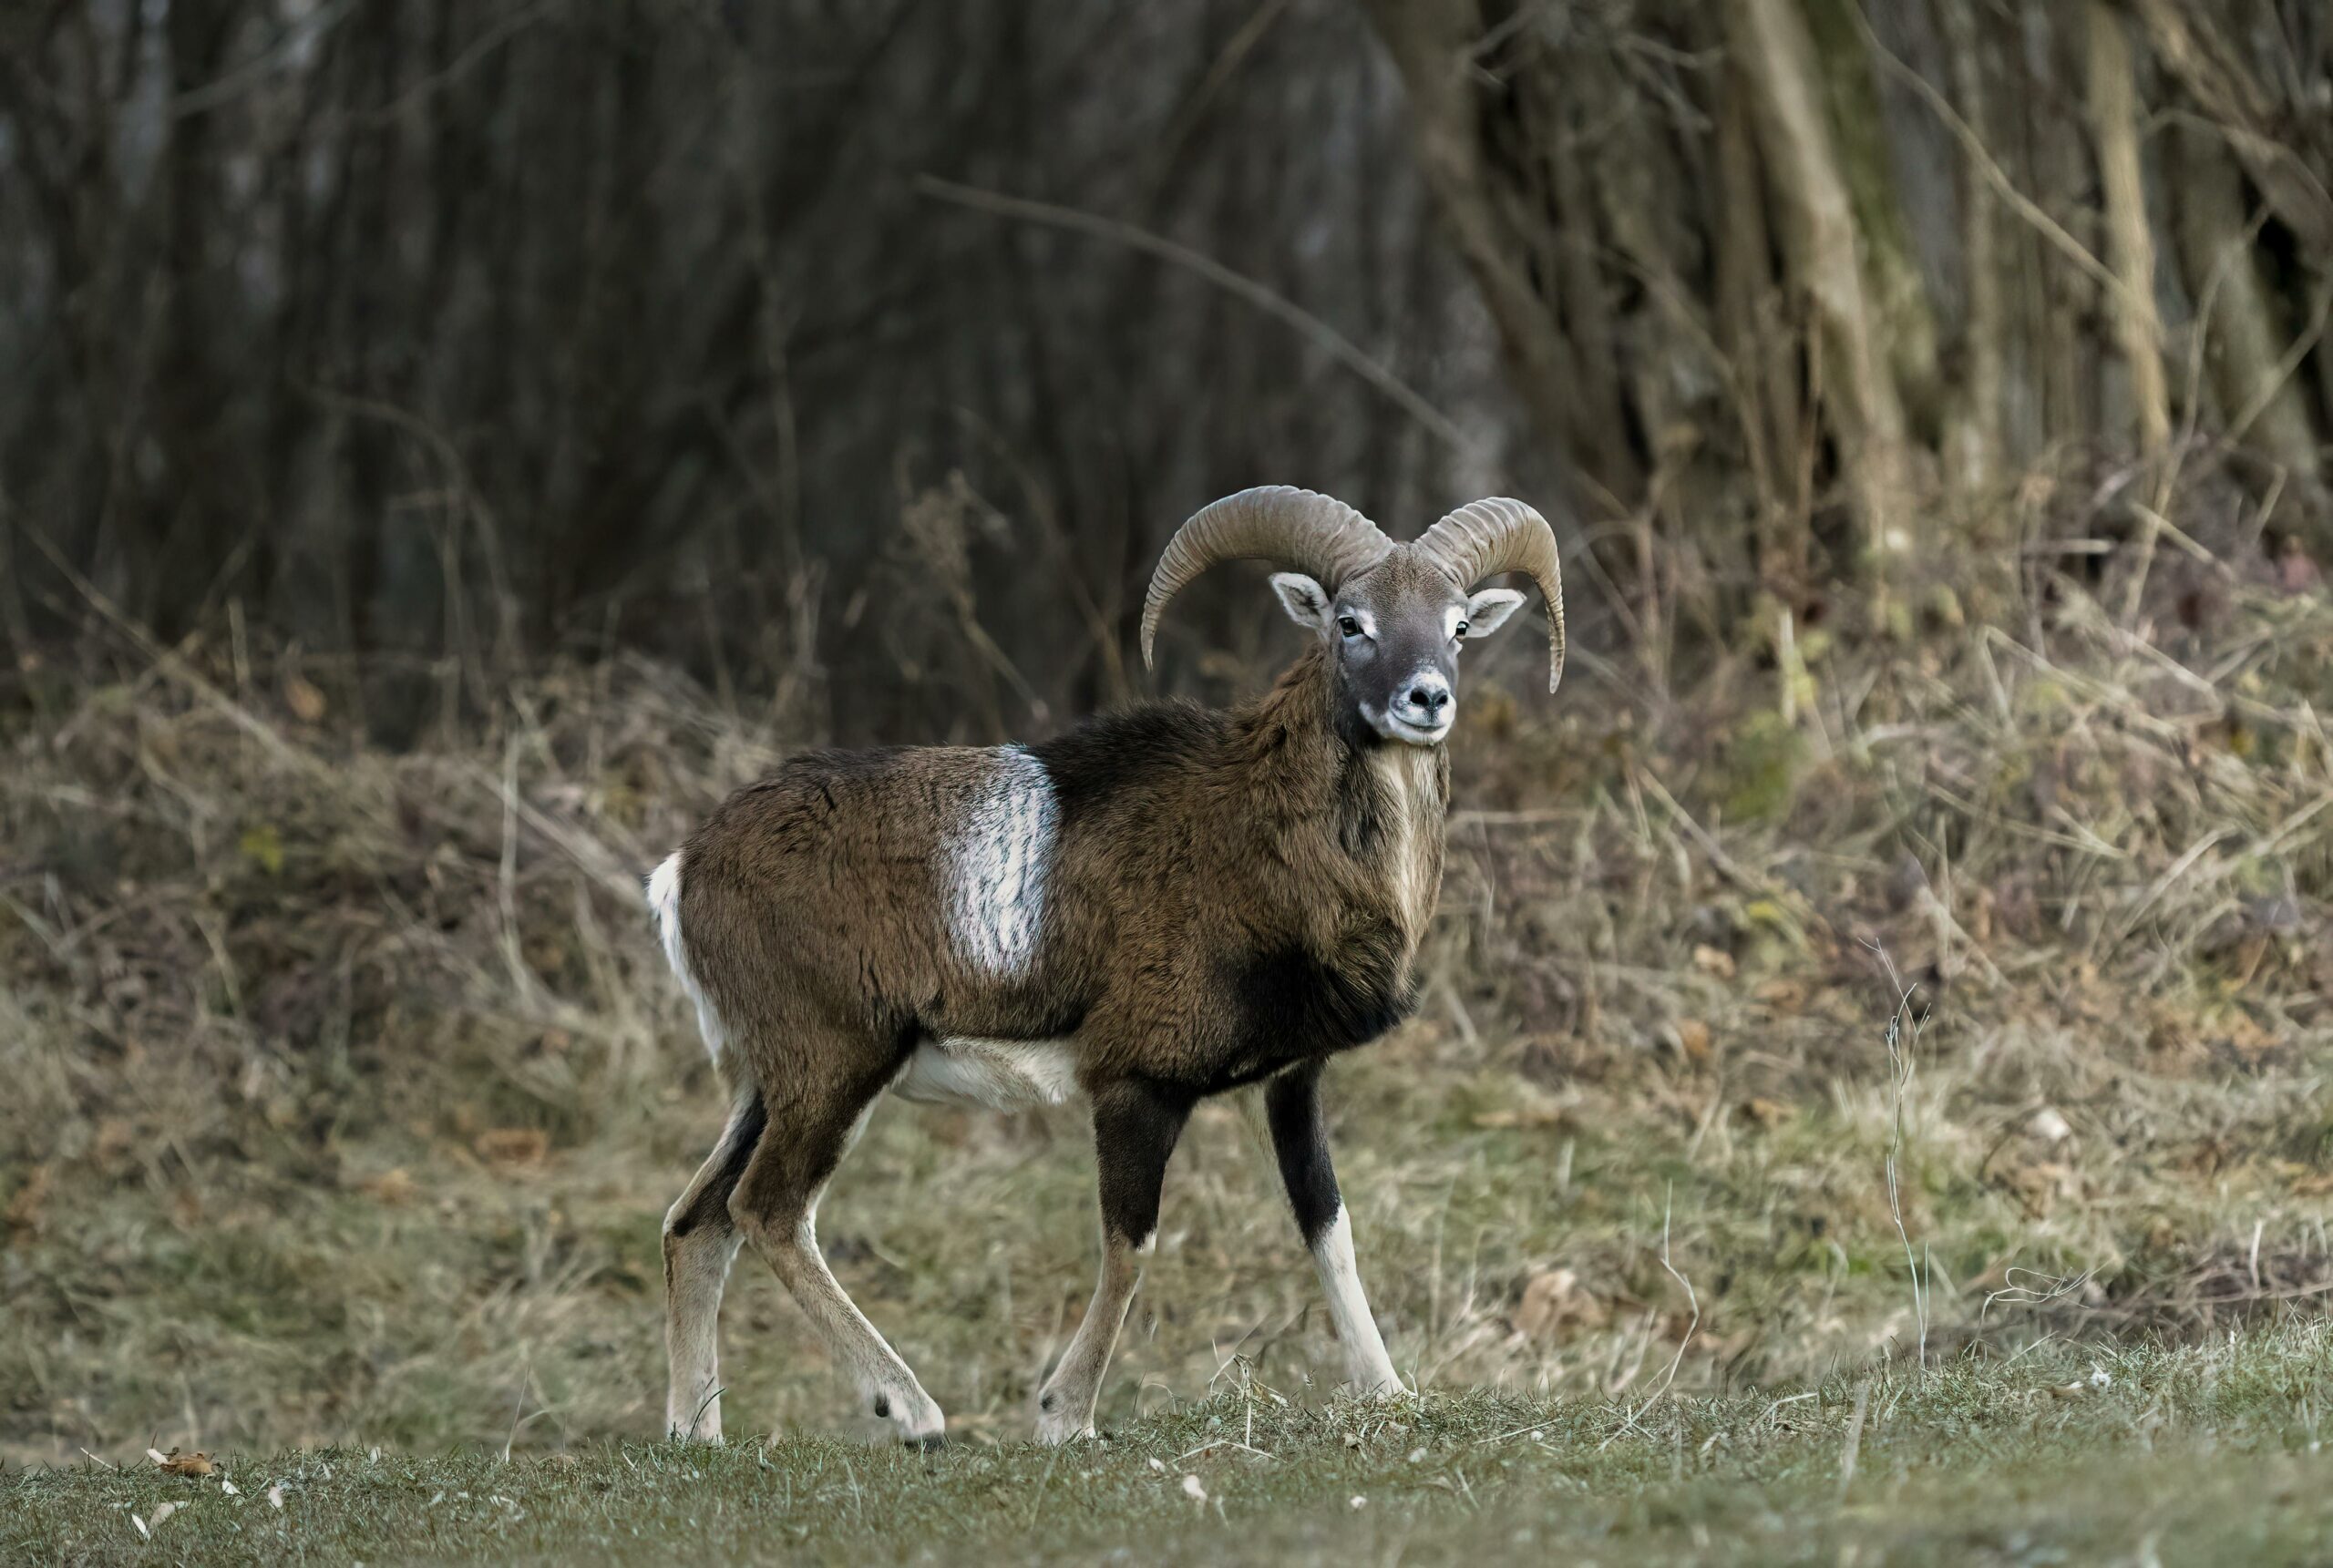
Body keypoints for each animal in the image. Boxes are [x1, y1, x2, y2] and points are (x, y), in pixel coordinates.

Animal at [647, 485, 1564, 1447]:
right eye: (1351, 622)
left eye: (1458, 626)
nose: (1427, 699)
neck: (1256, 848)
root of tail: (685, 869)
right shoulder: (1135, 1086)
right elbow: (1131, 1248)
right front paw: (1067, 1417)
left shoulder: (1290, 1085)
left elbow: (1330, 1232)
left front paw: (1387, 1393)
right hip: (834, 1069)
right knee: (769, 1210)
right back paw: (915, 1411)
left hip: (770, 1088)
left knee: (696, 1224)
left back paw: (698, 1433)